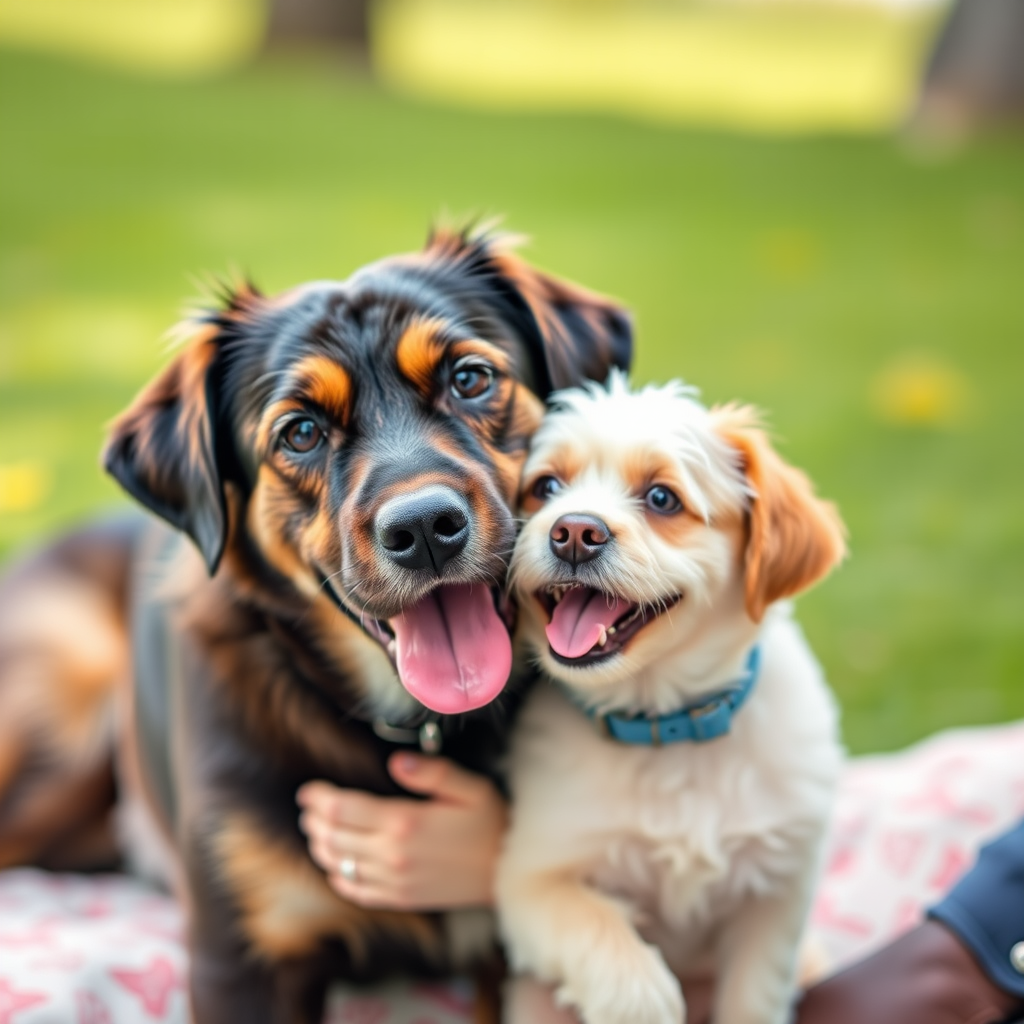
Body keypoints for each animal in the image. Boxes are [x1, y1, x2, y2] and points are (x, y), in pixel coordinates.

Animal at [497, 376, 847, 1024]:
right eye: (546, 487)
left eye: (662, 498)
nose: (573, 530)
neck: (666, 727)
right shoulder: (528, 880)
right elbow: (597, 931)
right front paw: (639, 995)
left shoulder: (778, 894)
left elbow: (754, 999)